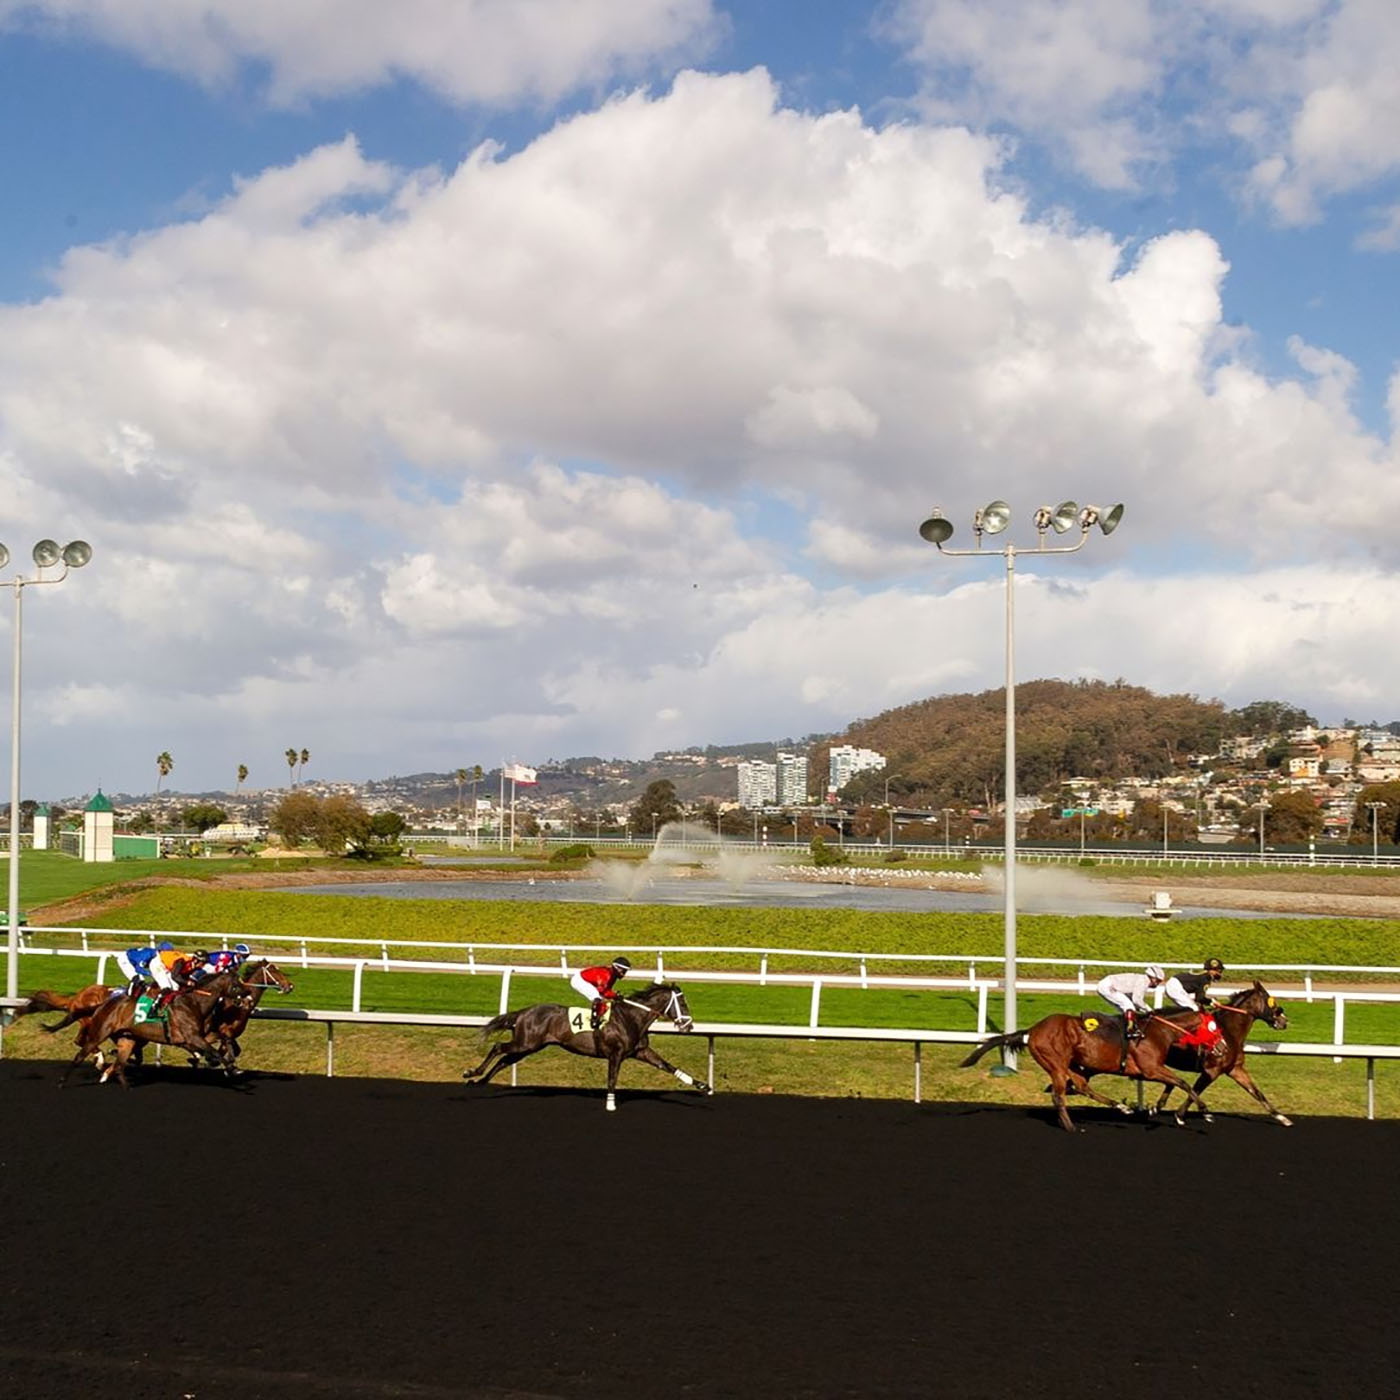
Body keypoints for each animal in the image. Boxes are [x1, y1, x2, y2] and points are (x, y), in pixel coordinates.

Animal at [62, 968, 247, 1088]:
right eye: (236, 984)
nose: (247, 998)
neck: (194, 1002)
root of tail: (103, 1003)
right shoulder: (192, 1037)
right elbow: (214, 1051)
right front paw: (230, 1068)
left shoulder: (200, 1036)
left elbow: (224, 1039)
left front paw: (232, 1063)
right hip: (100, 1033)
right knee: (80, 1054)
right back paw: (63, 1082)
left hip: (127, 1038)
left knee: (120, 1064)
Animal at [461, 981, 713, 1111]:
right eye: (683, 1003)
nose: (689, 1025)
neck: (631, 1017)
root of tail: (524, 1012)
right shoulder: (615, 1054)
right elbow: (612, 1079)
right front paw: (610, 1104)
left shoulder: (640, 1051)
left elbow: (669, 1066)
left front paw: (703, 1085)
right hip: (525, 1042)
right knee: (498, 1047)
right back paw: (472, 1073)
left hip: (528, 1047)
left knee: (504, 1060)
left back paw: (480, 1081)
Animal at [961, 998, 1217, 1132]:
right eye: (1214, 1029)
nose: (1222, 1047)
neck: (1158, 1032)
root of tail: (1033, 1030)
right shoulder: (1150, 1069)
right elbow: (1183, 1082)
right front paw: (1204, 1113)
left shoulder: (1150, 1071)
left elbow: (1175, 1084)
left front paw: (1156, 1109)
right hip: (1055, 1063)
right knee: (1059, 1095)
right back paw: (1071, 1126)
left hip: (1073, 1064)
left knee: (1082, 1087)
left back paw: (1119, 1106)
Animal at [1151, 981, 1291, 1125]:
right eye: (1271, 1001)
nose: (1284, 1021)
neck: (1229, 1031)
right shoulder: (1212, 1070)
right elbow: (1195, 1091)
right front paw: (1180, 1115)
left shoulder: (1235, 1069)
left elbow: (1257, 1092)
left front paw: (1282, 1117)